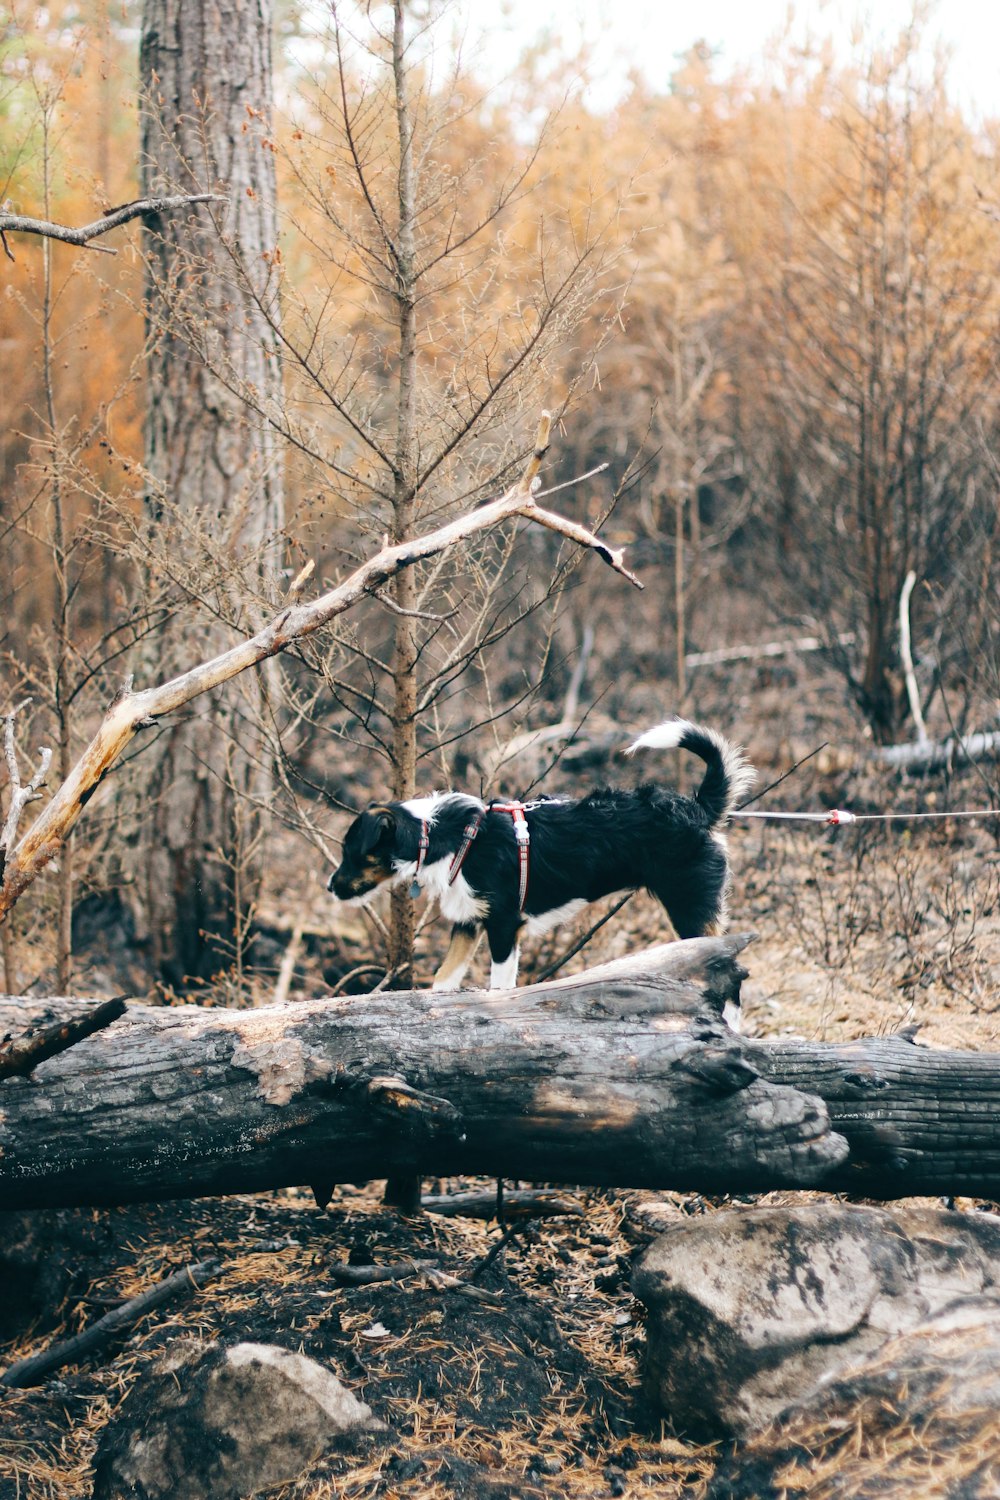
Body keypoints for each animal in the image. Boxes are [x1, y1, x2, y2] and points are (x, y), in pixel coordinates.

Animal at [325, 717, 755, 990]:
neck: (442, 835)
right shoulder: (467, 924)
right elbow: (443, 981)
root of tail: (696, 808)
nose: (329, 888)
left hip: (691, 908)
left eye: (351, 851)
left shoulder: (503, 927)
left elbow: (500, 990)